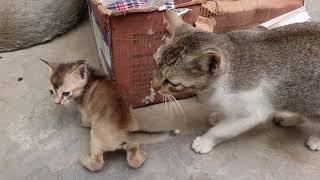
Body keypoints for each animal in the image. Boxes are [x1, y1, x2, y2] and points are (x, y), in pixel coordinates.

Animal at [40, 59, 179, 172]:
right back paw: (142, 157)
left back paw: (85, 161)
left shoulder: (86, 114)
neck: (90, 80)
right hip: (133, 141)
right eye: (51, 92)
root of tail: (123, 131)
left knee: (97, 164)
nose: (57, 102)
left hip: (94, 139)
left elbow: (84, 121)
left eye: (66, 93)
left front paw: (78, 120)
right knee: (134, 160)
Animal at [152, 10, 320, 155]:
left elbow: (221, 131)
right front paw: (220, 116)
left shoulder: (252, 113)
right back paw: (289, 118)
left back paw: (316, 140)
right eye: (155, 64)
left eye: (171, 82)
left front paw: (205, 141)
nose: (154, 86)